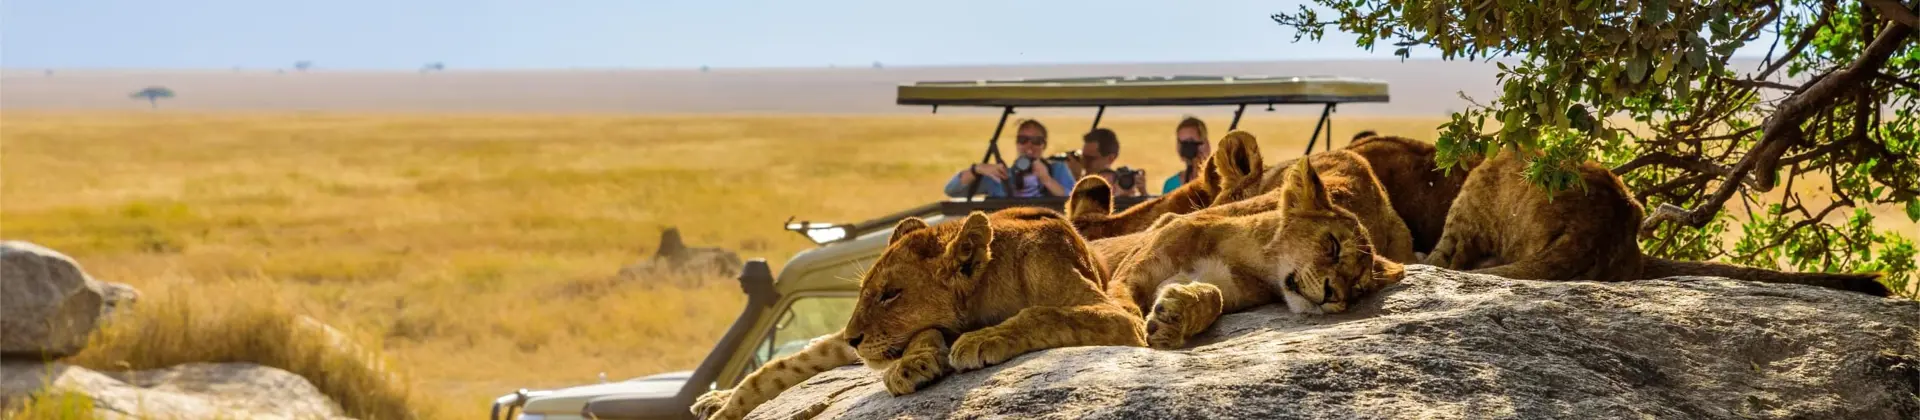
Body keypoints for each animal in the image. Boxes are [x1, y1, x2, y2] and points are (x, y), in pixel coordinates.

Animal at [691, 207, 1147, 420]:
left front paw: (983, 340)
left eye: (890, 294)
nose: (853, 337)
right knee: (773, 370)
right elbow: (923, 335)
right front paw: (913, 365)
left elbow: (1044, 314)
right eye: (864, 292)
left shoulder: (1124, 319)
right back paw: (718, 402)